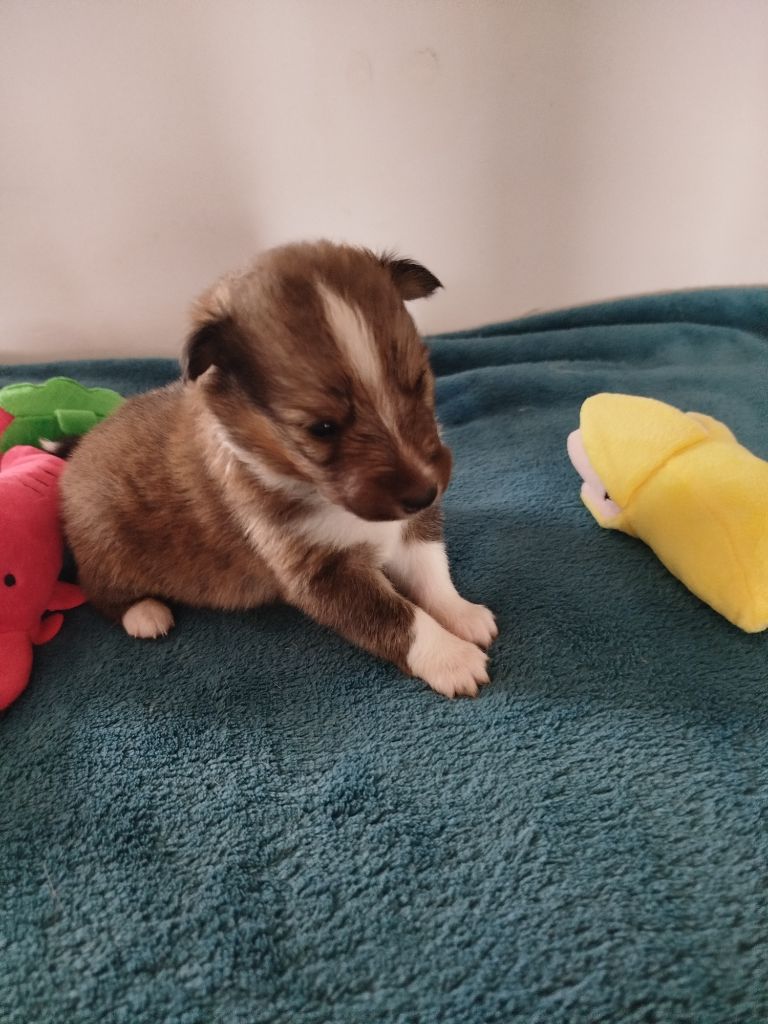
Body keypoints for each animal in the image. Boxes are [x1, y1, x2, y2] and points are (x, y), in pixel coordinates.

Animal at [60, 239, 499, 696]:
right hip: (109, 545)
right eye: (322, 428)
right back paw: (145, 614)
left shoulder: (412, 526)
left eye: (417, 383)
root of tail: (81, 448)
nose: (424, 493)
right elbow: (398, 617)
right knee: (96, 589)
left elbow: (430, 569)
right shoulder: (321, 572)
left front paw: (462, 613)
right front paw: (451, 657)